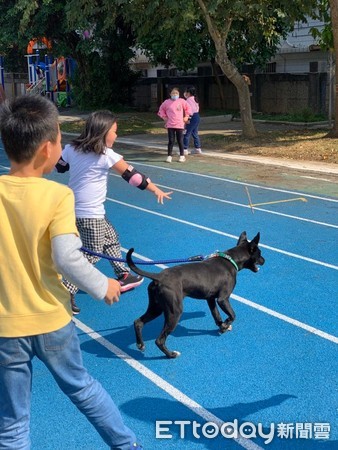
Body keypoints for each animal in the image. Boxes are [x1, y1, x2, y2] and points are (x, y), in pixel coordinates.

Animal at [126, 232, 264, 358]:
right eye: (260, 253)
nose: (264, 260)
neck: (231, 260)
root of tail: (158, 277)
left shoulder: (210, 299)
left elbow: (216, 315)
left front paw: (222, 326)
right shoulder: (223, 299)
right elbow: (232, 315)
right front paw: (226, 324)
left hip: (156, 307)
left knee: (138, 322)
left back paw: (140, 344)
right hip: (174, 311)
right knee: (159, 340)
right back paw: (171, 354)